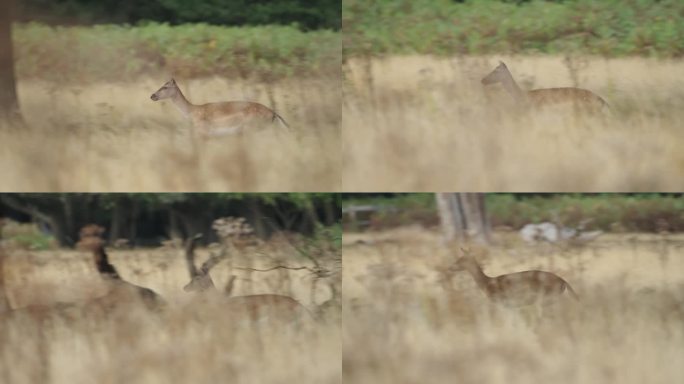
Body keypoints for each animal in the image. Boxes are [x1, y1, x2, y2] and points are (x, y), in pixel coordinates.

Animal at [452, 250, 580, 308]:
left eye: (461, 259)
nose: (450, 267)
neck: (487, 284)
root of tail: (563, 281)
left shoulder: (499, 301)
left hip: (548, 296)